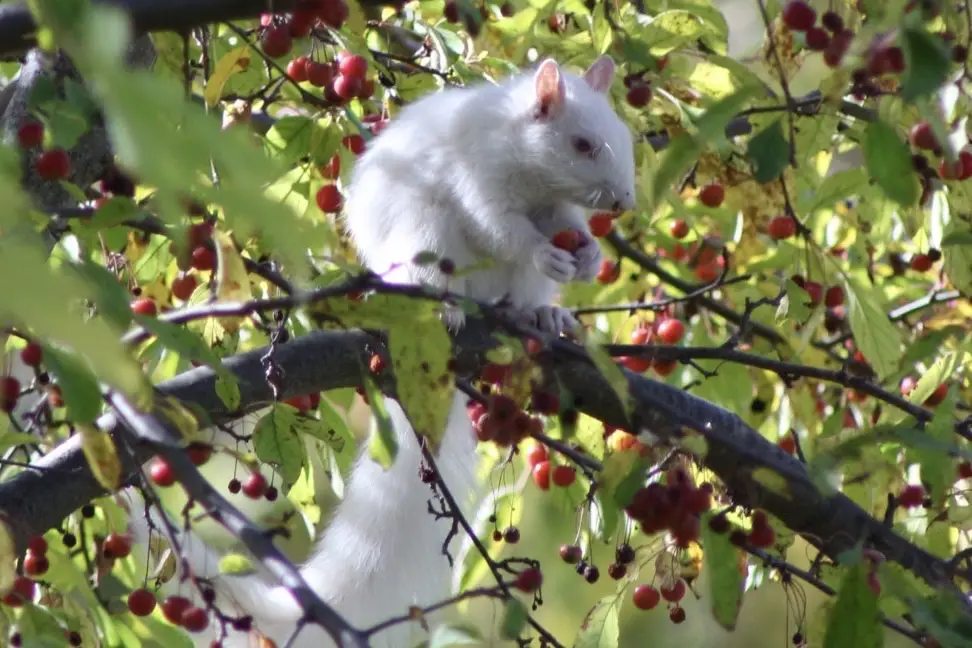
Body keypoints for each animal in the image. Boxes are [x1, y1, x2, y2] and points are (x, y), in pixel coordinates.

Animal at [118, 54, 636, 648]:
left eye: (622, 135)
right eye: (581, 144)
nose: (623, 202)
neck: (532, 171)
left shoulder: (556, 208)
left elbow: (565, 227)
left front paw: (589, 253)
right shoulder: (479, 176)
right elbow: (501, 228)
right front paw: (539, 246)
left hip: (507, 281)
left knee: (522, 293)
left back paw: (541, 315)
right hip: (426, 234)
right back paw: (446, 308)